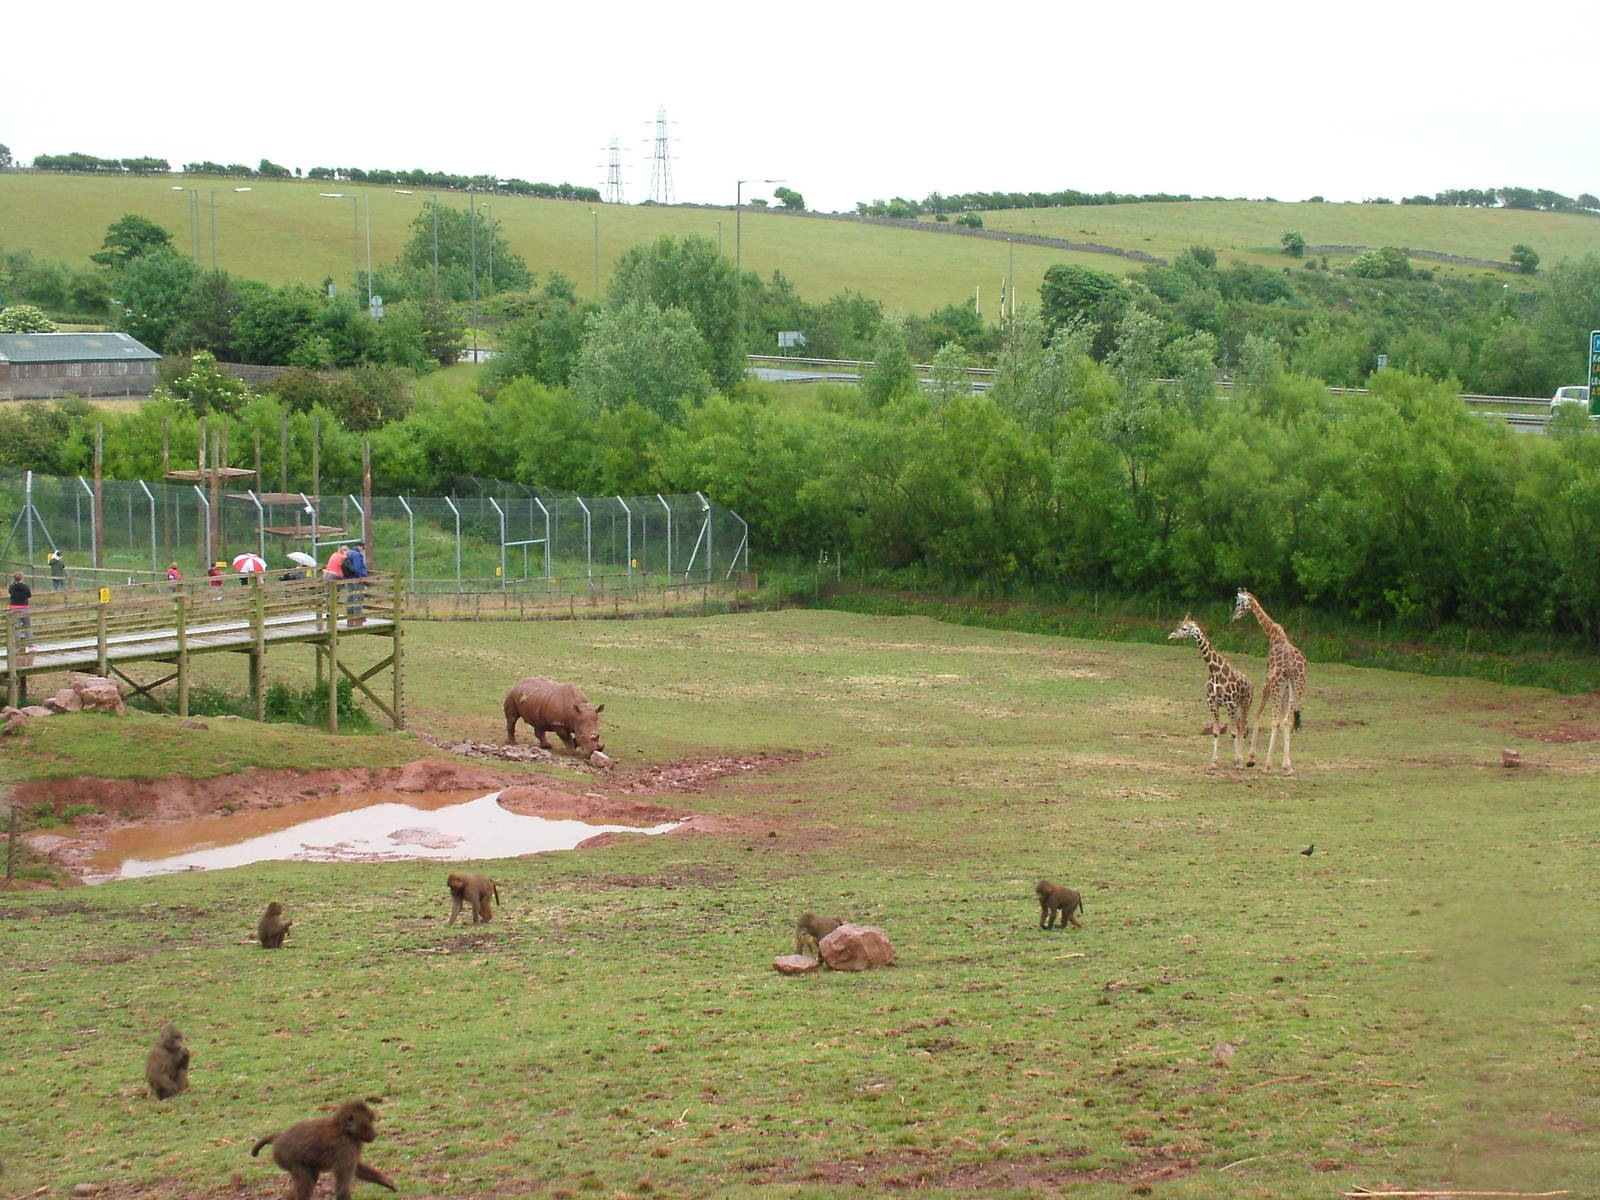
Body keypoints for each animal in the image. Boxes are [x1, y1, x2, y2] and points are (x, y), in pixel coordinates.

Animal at [252, 1100, 397, 1200]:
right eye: (369, 1122)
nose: (375, 1133)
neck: (344, 1130)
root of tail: (280, 1137)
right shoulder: (346, 1147)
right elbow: (342, 1191)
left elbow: (358, 1169)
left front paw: (386, 1181)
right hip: (286, 1157)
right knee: (307, 1180)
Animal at [1167, 613, 1254, 768]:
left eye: (1184, 628)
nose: (1170, 636)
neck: (1214, 670)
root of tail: (1252, 685)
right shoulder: (1213, 703)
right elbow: (1216, 732)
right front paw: (1214, 762)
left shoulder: (1230, 703)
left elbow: (1233, 733)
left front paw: (1238, 762)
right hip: (1237, 707)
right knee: (1240, 726)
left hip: (1245, 704)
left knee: (1242, 728)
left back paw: (1241, 761)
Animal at [1231, 588, 1308, 774]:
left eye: (1239, 603)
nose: (1234, 618)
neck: (1273, 634)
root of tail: (1291, 667)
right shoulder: (1286, 689)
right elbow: (1284, 719)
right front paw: (1286, 763)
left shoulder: (1267, 683)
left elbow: (1258, 714)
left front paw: (1251, 758)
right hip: (1298, 686)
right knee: (1288, 720)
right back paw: (1287, 767)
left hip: (1276, 685)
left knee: (1275, 720)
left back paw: (1266, 765)